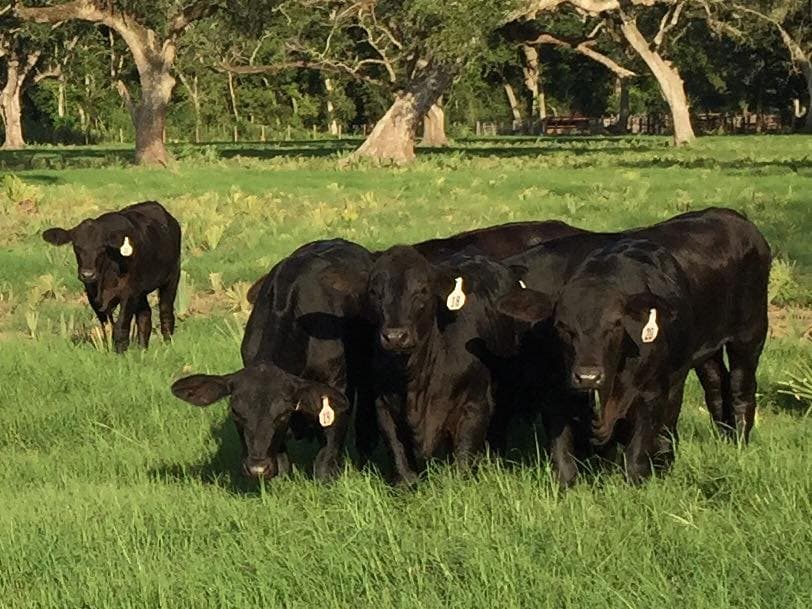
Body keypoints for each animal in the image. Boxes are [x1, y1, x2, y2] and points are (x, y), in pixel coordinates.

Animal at [42, 201, 181, 353]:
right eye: (76, 246)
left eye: (102, 247)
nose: (87, 274)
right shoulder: (93, 296)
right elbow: (107, 328)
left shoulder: (129, 293)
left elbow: (121, 326)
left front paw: (120, 354)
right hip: (141, 290)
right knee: (145, 315)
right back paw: (142, 349)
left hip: (172, 277)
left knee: (166, 313)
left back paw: (167, 346)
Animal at [173, 239, 374, 481]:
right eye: (236, 413)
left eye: (282, 415)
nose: (257, 468)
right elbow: (282, 461)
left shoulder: (337, 384)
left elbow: (327, 455)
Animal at [498, 208, 771, 485]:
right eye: (561, 325)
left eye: (616, 324)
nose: (588, 376)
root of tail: (731, 216)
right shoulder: (554, 393)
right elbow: (562, 456)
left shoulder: (651, 392)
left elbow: (637, 456)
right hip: (705, 350)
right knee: (715, 384)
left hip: (749, 334)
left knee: (740, 388)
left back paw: (737, 442)